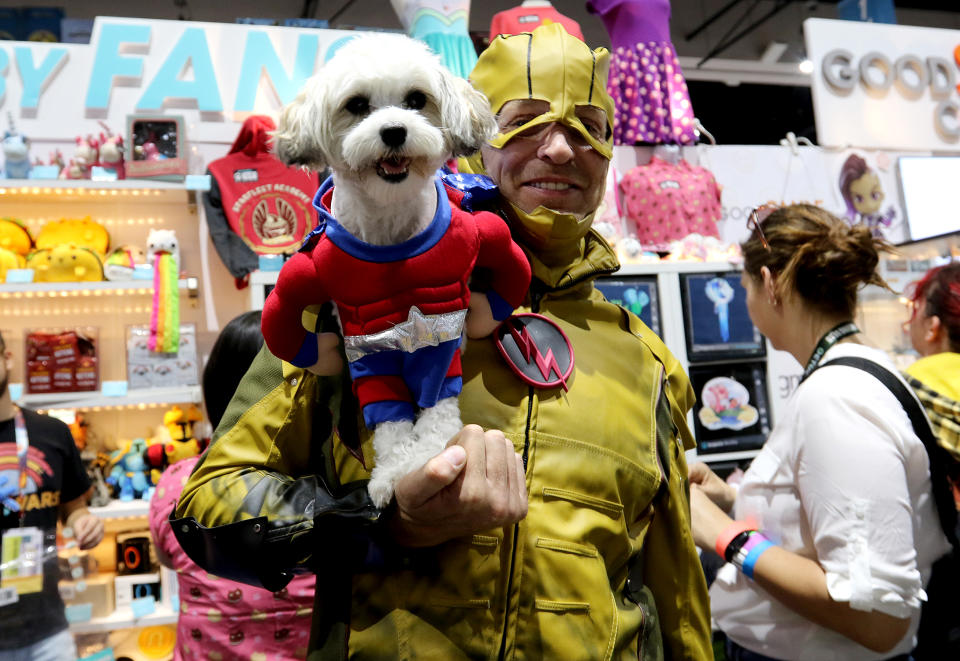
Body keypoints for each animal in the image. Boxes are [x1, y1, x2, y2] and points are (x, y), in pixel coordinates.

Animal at [268, 32, 498, 506]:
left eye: (417, 100)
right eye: (357, 105)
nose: (394, 131)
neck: (391, 234)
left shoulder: (439, 335)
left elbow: (436, 405)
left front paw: (427, 455)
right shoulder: (366, 347)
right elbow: (387, 416)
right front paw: (393, 471)